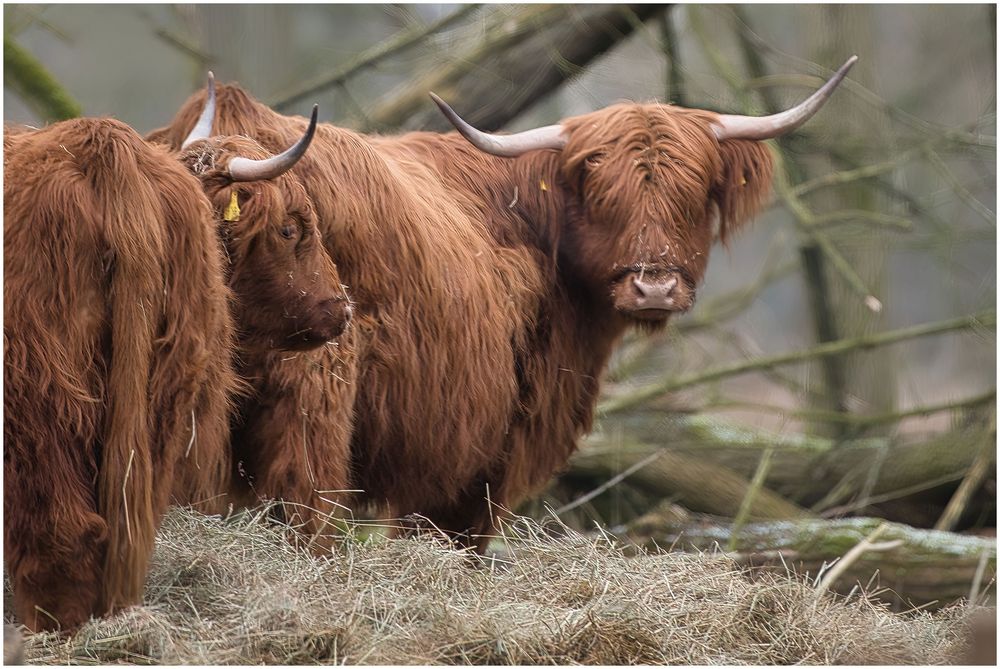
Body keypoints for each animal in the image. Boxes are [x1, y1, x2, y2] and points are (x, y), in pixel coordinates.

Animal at [152, 56, 856, 548]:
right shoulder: (484, 449)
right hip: (312, 393)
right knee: (305, 511)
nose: (654, 286)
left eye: (696, 193)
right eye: (602, 193)